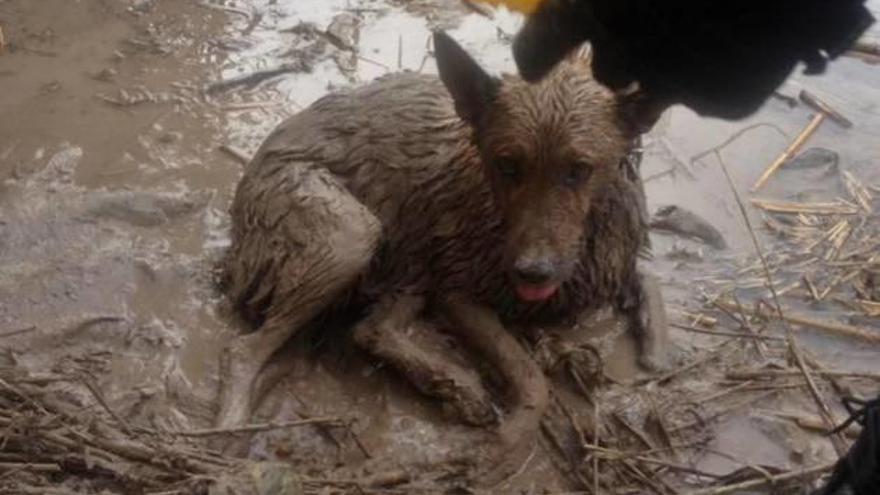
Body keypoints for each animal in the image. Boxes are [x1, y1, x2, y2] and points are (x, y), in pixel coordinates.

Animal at [218, 30, 668, 450]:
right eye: (507, 164)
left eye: (579, 169)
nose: (532, 272)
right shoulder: (458, 295)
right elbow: (531, 377)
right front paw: (513, 436)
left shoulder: (617, 257)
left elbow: (648, 280)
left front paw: (654, 350)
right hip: (352, 236)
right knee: (246, 348)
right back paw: (230, 426)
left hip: (408, 258)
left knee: (371, 329)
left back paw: (451, 387)